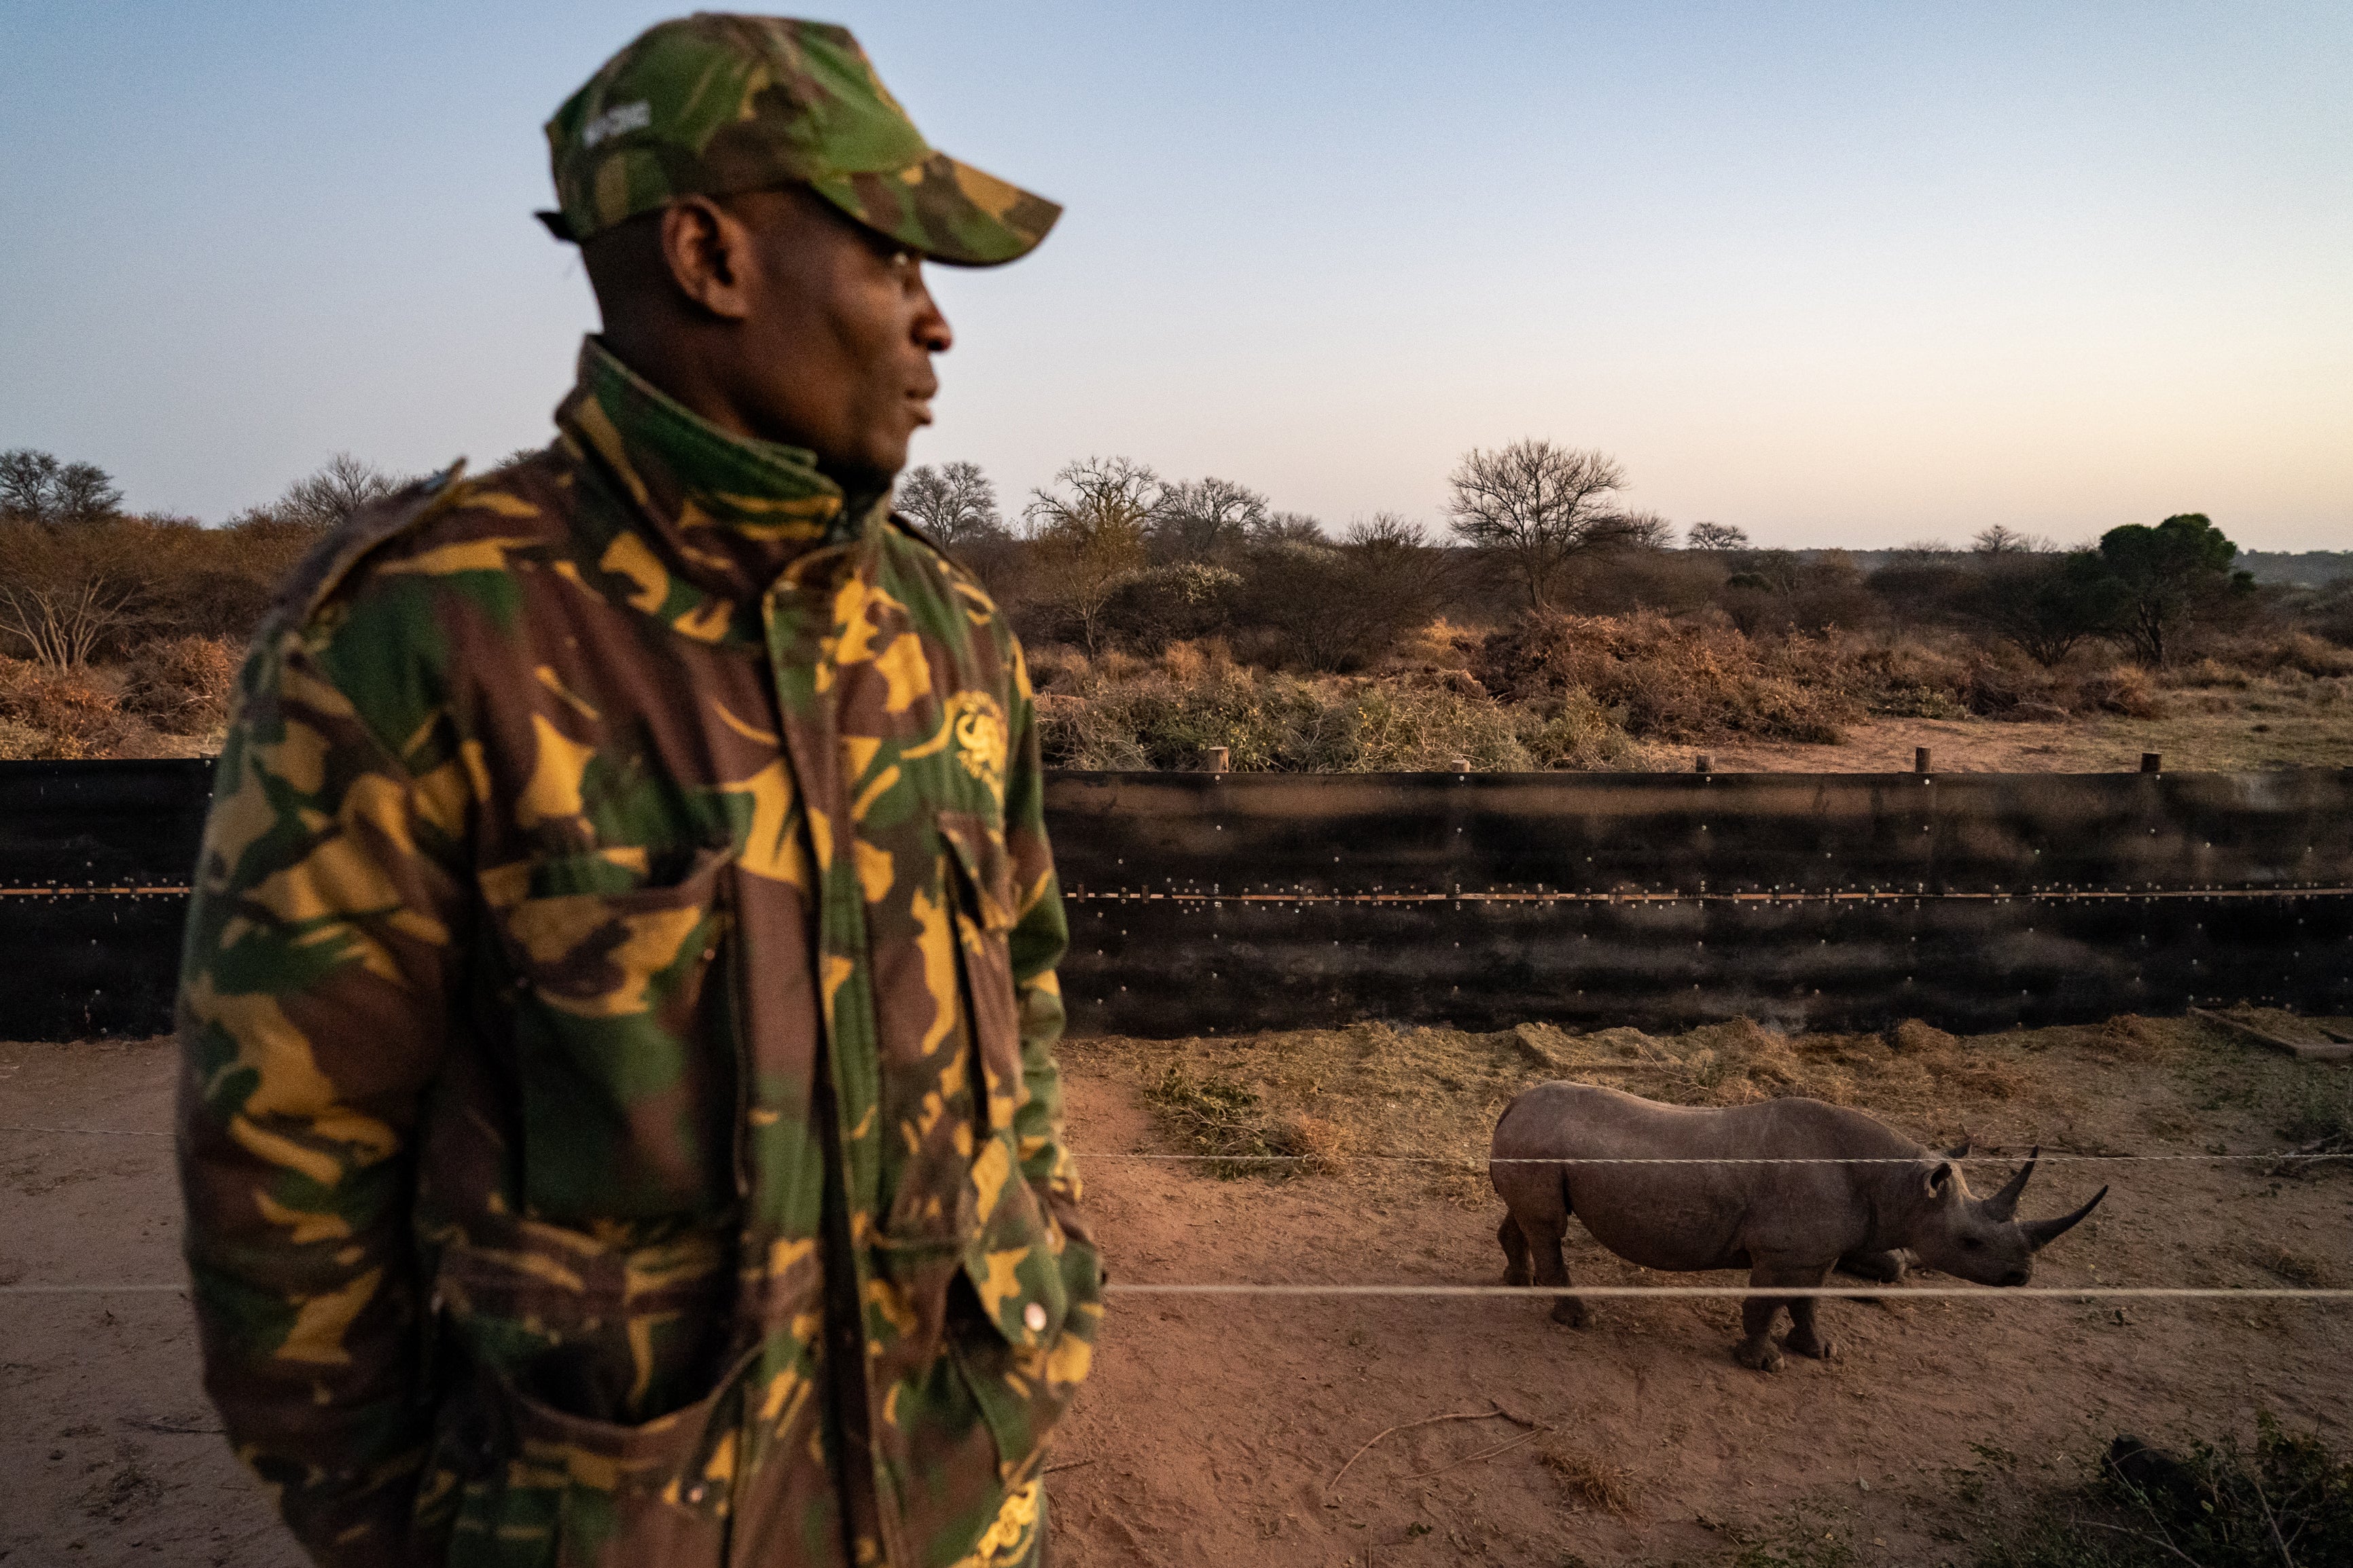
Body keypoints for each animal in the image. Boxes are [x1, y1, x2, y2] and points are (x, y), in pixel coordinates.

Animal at [1477, 1086, 2108, 1363]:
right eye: (1969, 1241)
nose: (2023, 1276)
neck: (1900, 1186)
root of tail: (1512, 1102)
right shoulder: (1782, 1249)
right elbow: (1765, 1303)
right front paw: (1762, 1362)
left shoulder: (1818, 1250)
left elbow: (1808, 1300)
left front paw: (1820, 1351)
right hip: (1541, 1140)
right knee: (1550, 1225)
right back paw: (1576, 1319)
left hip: (1539, 1141)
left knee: (1530, 1216)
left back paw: (1519, 1281)